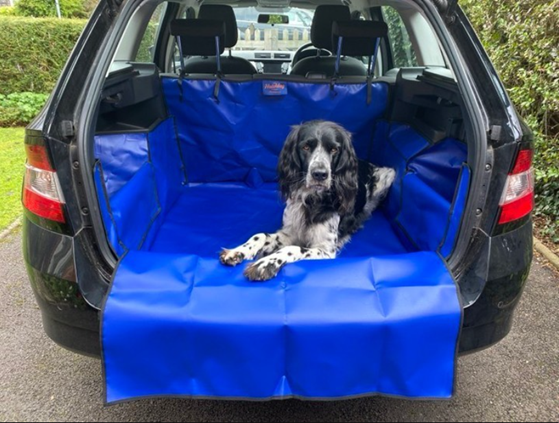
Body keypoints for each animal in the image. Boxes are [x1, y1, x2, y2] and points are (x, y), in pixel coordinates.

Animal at [221, 119, 396, 282]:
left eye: (334, 149)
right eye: (305, 147)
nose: (320, 174)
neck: (313, 199)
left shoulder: (325, 250)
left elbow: (294, 249)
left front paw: (265, 264)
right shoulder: (289, 232)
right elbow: (260, 235)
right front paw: (238, 251)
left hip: (388, 174)